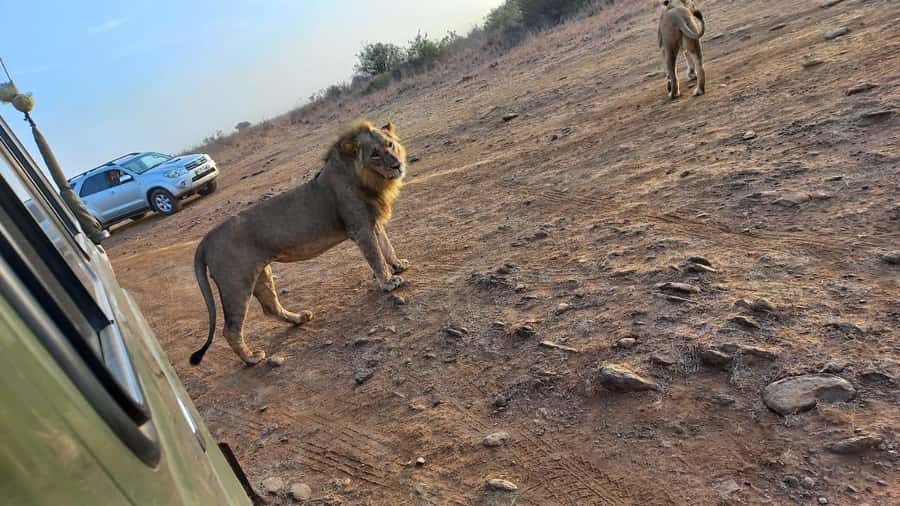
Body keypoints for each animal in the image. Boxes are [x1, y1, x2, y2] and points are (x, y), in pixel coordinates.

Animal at [190, 121, 409, 366]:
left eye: (389, 145)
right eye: (374, 155)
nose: (397, 165)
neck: (369, 179)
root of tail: (206, 239)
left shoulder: (372, 222)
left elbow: (386, 246)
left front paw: (398, 264)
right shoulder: (360, 228)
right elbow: (376, 257)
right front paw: (389, 282)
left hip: (261, 274)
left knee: (271, 308)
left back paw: (299, 318)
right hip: (236, 285)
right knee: (230, 329)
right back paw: (252, 358)